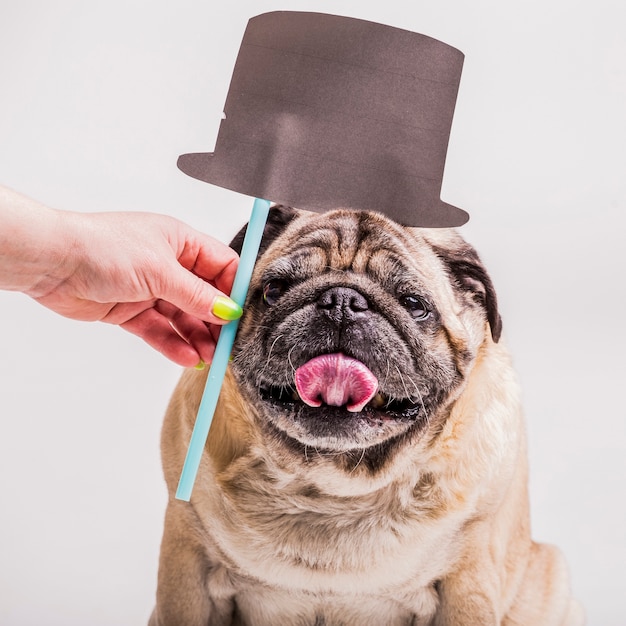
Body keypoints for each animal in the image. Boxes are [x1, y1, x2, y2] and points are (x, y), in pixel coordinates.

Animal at [149, 206, 584, 624]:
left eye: (414, 305)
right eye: (274, 290)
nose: (342, 301)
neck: (333, 484)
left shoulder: (467, 583)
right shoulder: (186, 567)